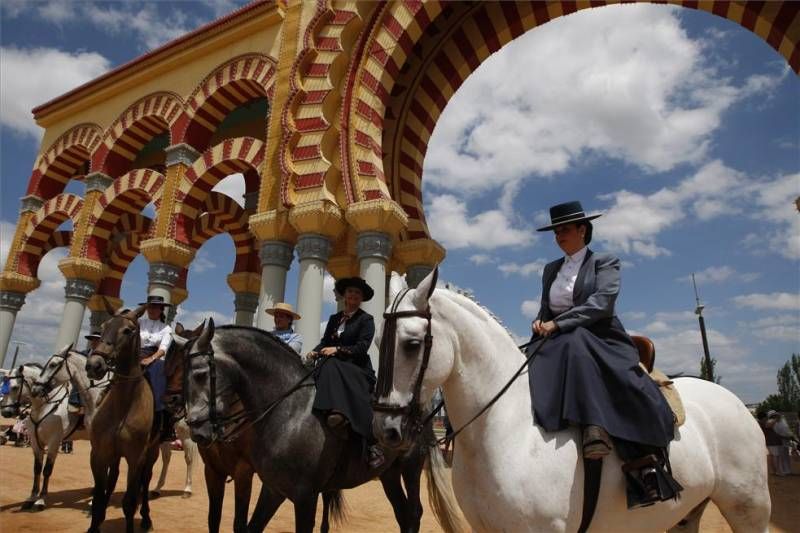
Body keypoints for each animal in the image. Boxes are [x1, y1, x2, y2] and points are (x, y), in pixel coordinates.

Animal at [86, 306, 161, 528]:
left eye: (128, 330)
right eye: (104, 326)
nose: (94, 365)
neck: (123, 407)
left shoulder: (136, 457)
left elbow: (129, 502)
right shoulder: (98, 453)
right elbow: (99, 496)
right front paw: (95, 521)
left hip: (153, 449)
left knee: (145, 480)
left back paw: (145, 518)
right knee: (113, 478)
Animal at [372, 272, 772, 528]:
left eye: (411, 344)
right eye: (377, 342)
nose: (385, 430)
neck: (509, 431)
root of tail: (736, 403)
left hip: (750, 509)